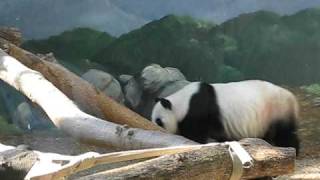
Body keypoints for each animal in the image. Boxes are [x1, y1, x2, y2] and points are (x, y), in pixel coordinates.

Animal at [151, 80, 298, 155]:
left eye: (159, 121)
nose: (154, 128)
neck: (181, 102)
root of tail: (291, 96)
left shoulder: (197, 111)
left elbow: (196, 134)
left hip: (277, 109)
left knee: (285, 133)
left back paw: (293, 150)